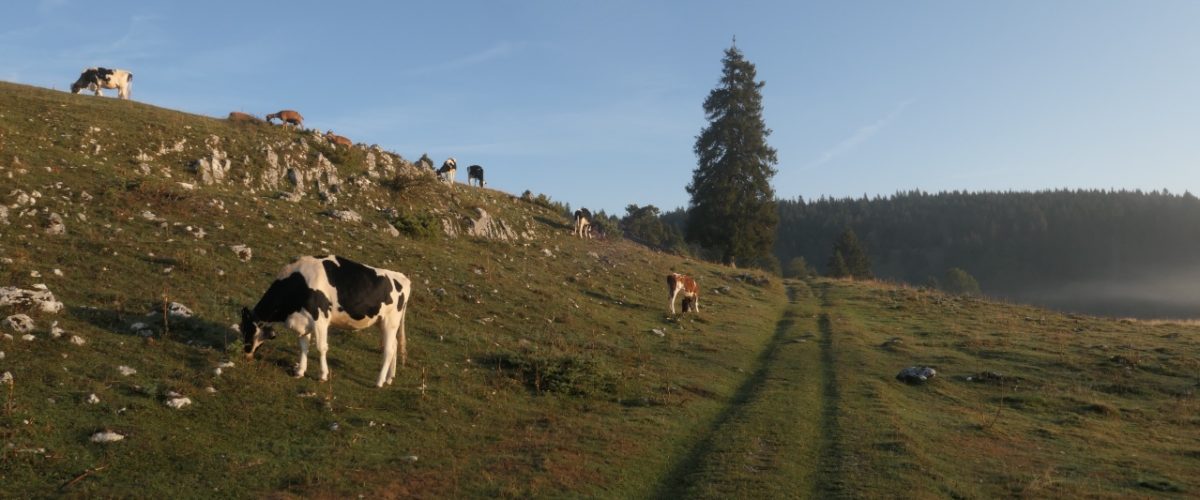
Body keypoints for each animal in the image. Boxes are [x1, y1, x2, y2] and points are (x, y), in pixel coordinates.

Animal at [241, 255, 415, 388]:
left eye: (248, 331)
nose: (246, 354)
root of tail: (402, 277)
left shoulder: (320, 319)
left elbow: (321, 347)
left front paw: (323, 375)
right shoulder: (304, 321)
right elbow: (303, 346)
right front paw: (299, 371)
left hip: (390, 322)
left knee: (389, 350)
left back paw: (379, 382)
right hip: (383, 322)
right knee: (394, 345)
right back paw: (389, 378)